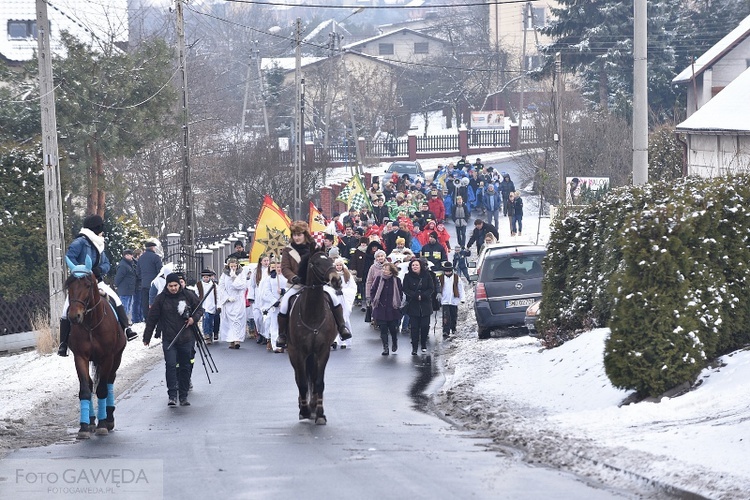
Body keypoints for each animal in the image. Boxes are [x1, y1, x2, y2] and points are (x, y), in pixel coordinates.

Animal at [64, 256, 126, 440]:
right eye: (69, 286)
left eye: (87, 285)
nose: (74, 316)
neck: (91, 324)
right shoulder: (80, 357)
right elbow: (85, 389)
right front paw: (84, 426)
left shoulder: (107, 358)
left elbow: (103, 390)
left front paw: (103, 424)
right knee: (91, 384)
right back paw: (92, 421)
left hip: (116, 358)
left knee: (110, 381)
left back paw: (109, 417)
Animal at [288, 248, 344, 424]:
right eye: (316, 263)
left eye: (331, 261)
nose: (336, 280)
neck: (312, 314)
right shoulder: (298, 352)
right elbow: (302, 382)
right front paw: (304, 411)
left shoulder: (322, 351)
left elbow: (318, 382)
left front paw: (319, 413)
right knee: (299, 378)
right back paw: (304, 406)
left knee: (312, 377)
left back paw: (312, 405)